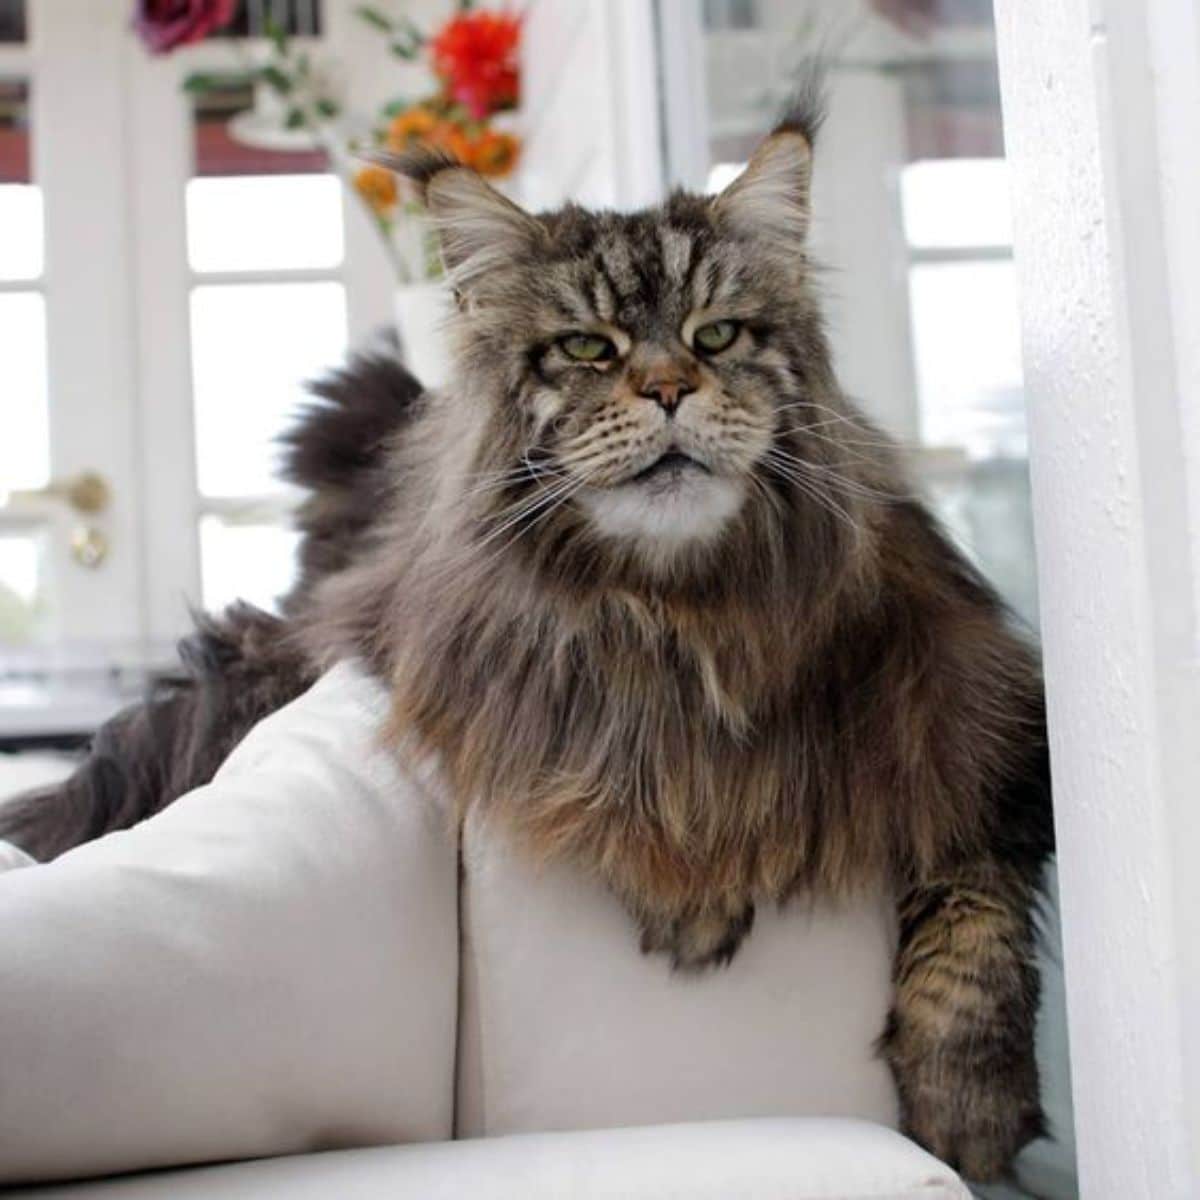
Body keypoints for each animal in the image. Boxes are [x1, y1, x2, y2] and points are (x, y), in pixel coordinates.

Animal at [0, 93, 1051, 1180]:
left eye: (718, 334)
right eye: (587, 348)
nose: (669, 389)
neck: (681, 614)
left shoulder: (979, 722)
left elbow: (974, 908)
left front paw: (970, 1110)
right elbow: (621, 776)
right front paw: (690, 886)